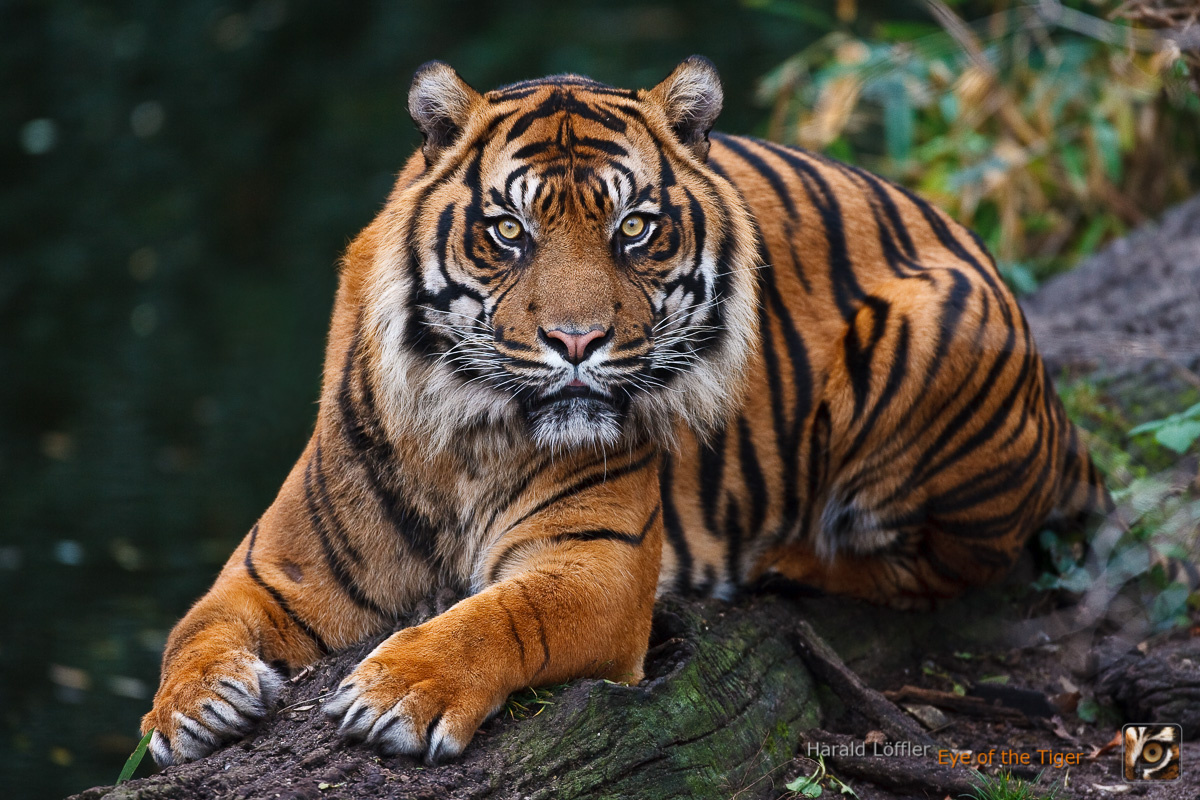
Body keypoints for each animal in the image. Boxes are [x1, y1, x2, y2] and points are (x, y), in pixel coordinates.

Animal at [141, 56, 1106, 767]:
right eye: (509, 232)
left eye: (634, 228)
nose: (578, 341)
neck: (462, 440)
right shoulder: (277, 570)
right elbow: (192, 625)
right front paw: (191, 707)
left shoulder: (596, 565)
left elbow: (498, 616)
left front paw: (399, 691)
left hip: (930, 338)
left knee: (941, 567)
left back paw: (780, 562)